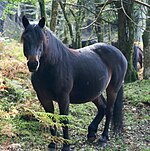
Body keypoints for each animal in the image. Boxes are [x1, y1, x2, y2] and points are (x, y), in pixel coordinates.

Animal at [21, 15, 126, 150]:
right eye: (25, 38)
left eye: (42, 39)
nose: (33, 64)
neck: (53, 66)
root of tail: (120, 53)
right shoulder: (44, 98)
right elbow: (51, 119)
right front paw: (52, 144)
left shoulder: (63, 98)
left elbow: (64, 120)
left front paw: (66, 146)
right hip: (94, 92)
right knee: (102, 107)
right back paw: (91, 133)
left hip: (112, 89)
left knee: (109, 110)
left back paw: (103, 137)